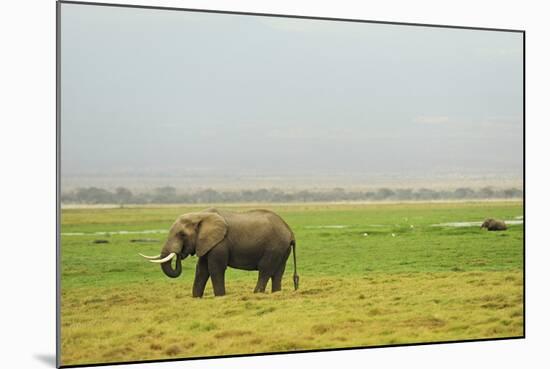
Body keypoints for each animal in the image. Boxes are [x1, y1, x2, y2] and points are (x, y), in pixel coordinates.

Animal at [140, 207, 300, 296]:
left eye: (182, 235)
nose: (180, 254)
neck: (199, 215)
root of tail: (290, 231)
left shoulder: (220, 243)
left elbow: (215, 269)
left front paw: (220, 296)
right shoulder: (206, 243)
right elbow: (201, 270)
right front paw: (196, 298)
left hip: (274, 247)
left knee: (265, 270)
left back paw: (256, 294)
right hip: (282, 248)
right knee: (278, 272)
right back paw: (276, 294)